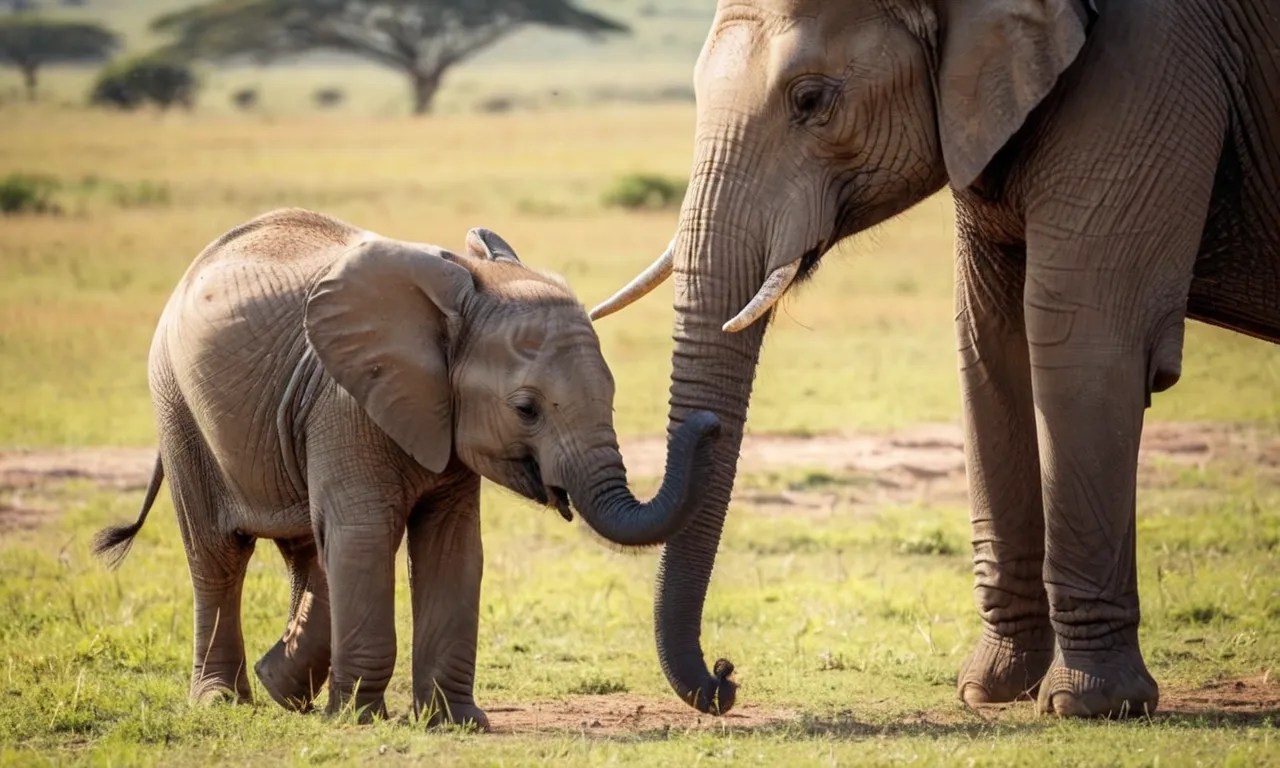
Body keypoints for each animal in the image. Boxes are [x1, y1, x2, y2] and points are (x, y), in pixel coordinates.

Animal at [92, 208, 721, 727]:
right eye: (526, 409)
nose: (710, 424)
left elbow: (451, 547)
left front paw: (455, 723)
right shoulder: (346, 403)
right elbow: (366, 535)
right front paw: (359, 720)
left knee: (309, 548)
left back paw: (284, 690)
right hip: (176, 404)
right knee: (218, 555)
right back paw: (223, 701)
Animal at [590, 0, 1280, 719]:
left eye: (812, 100)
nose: (727, 676)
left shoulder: (1148, 69)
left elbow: (1080, 339)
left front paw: (1089, 705)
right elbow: (989, 343)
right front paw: (991, 691)